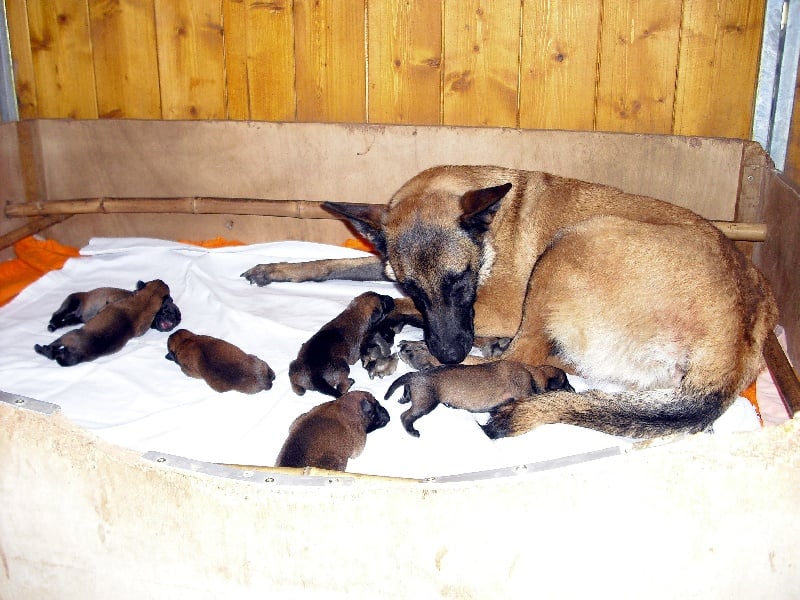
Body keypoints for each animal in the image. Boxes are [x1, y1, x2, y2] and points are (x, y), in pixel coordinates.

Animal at [34, 280, 181, 368]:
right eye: (166, 311)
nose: (175, 320)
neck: (147, 299)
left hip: (70, 329)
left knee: (54, 344)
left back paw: (46, 339)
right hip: (72, 303)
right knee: (58, 314)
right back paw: (52, 324)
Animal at [384, 358, 572, 438]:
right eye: (565, 383)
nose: (574, 390)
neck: (533, 373)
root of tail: (415, 375)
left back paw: (403, 399)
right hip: (426, 403)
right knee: (406, 416)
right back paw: (412, 431)